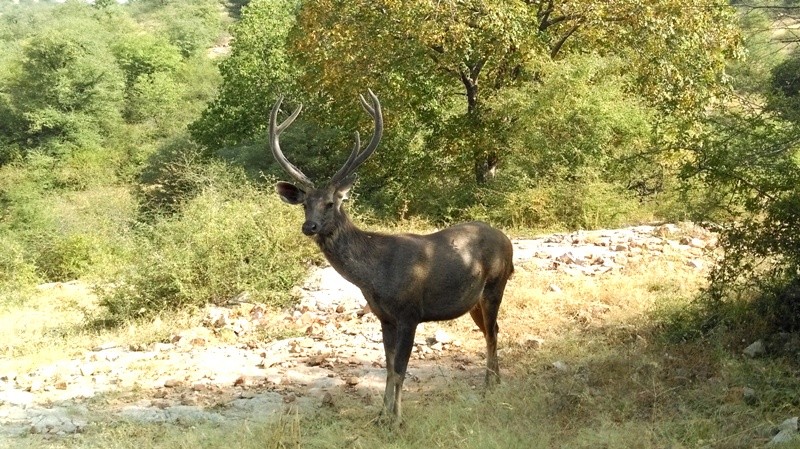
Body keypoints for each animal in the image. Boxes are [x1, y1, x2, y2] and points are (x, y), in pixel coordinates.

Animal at [269, 90, 514, 425]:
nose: (310, 226)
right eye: (305, 204)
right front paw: (381, 415)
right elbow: (387, 366)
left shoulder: (410, 312)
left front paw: (396, 420)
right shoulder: (384, 316)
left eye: (331, 203)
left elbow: (400, 369)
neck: (375, 277)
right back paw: (495, 382)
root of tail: (508, 241)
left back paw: (490, 386)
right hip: (474, 301)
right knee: (493, 331)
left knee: (492, 333)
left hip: (495, 286)